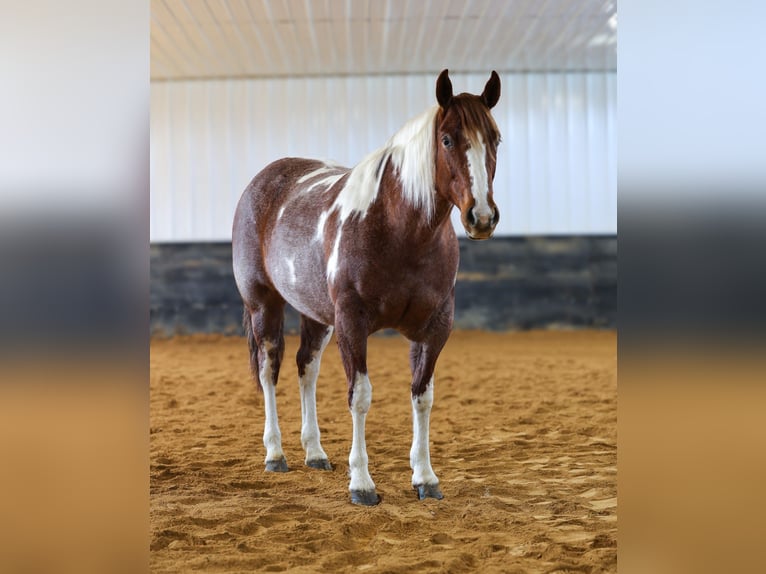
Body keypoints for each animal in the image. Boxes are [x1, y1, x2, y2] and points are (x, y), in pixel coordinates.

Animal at [232, 69, 501, 506]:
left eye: (495, 139)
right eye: (447, 139)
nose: (481, 217)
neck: (399, 228)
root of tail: (261, 182)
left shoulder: (434, 328)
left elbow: (422, 396)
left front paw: (425, 478)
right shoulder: (352, 323)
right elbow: (359, 396)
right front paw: (361, 483)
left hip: (316, 316)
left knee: (306, 368)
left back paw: (315, 452)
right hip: (264, 306)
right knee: (269, 369)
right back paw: (275, 453)